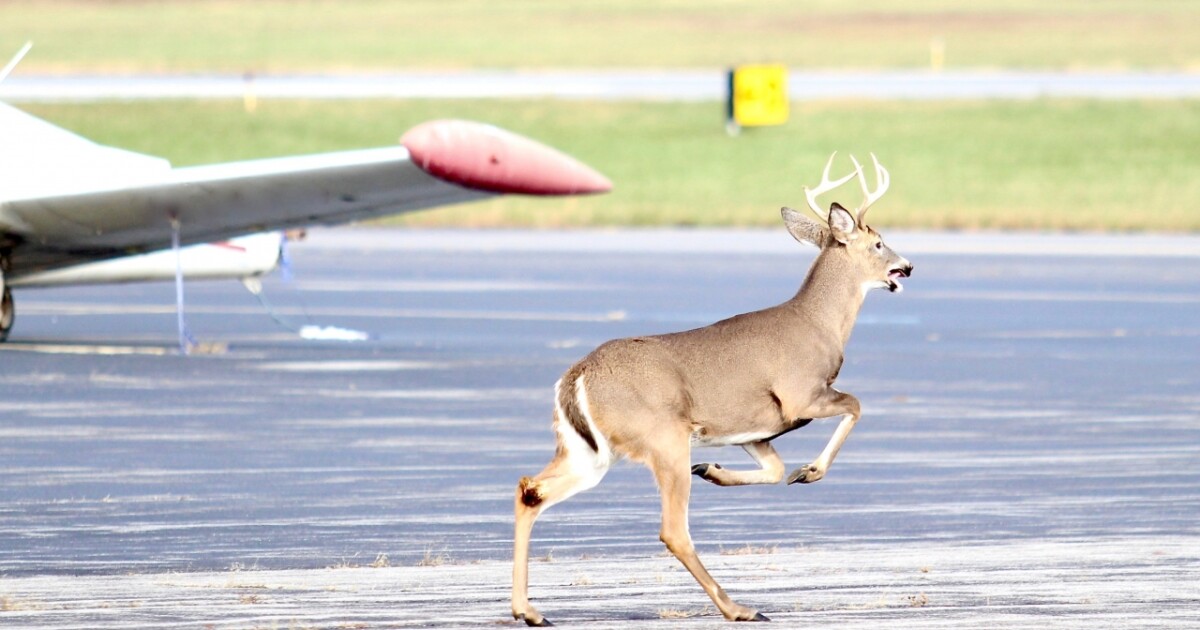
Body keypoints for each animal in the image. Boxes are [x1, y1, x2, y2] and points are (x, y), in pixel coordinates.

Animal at [511, 153, 912, 624]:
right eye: (879, 243)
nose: (907, 267)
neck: (819, 324)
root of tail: (577, 376)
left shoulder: (754, 428)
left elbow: (774, 470)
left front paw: (715, 470)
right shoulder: (800, 395)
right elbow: (856, 405)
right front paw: (809, 471)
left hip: (588, 452)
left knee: (530, 490)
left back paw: (530, 611)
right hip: (663, 438)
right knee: (672, 530)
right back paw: (740, 608)